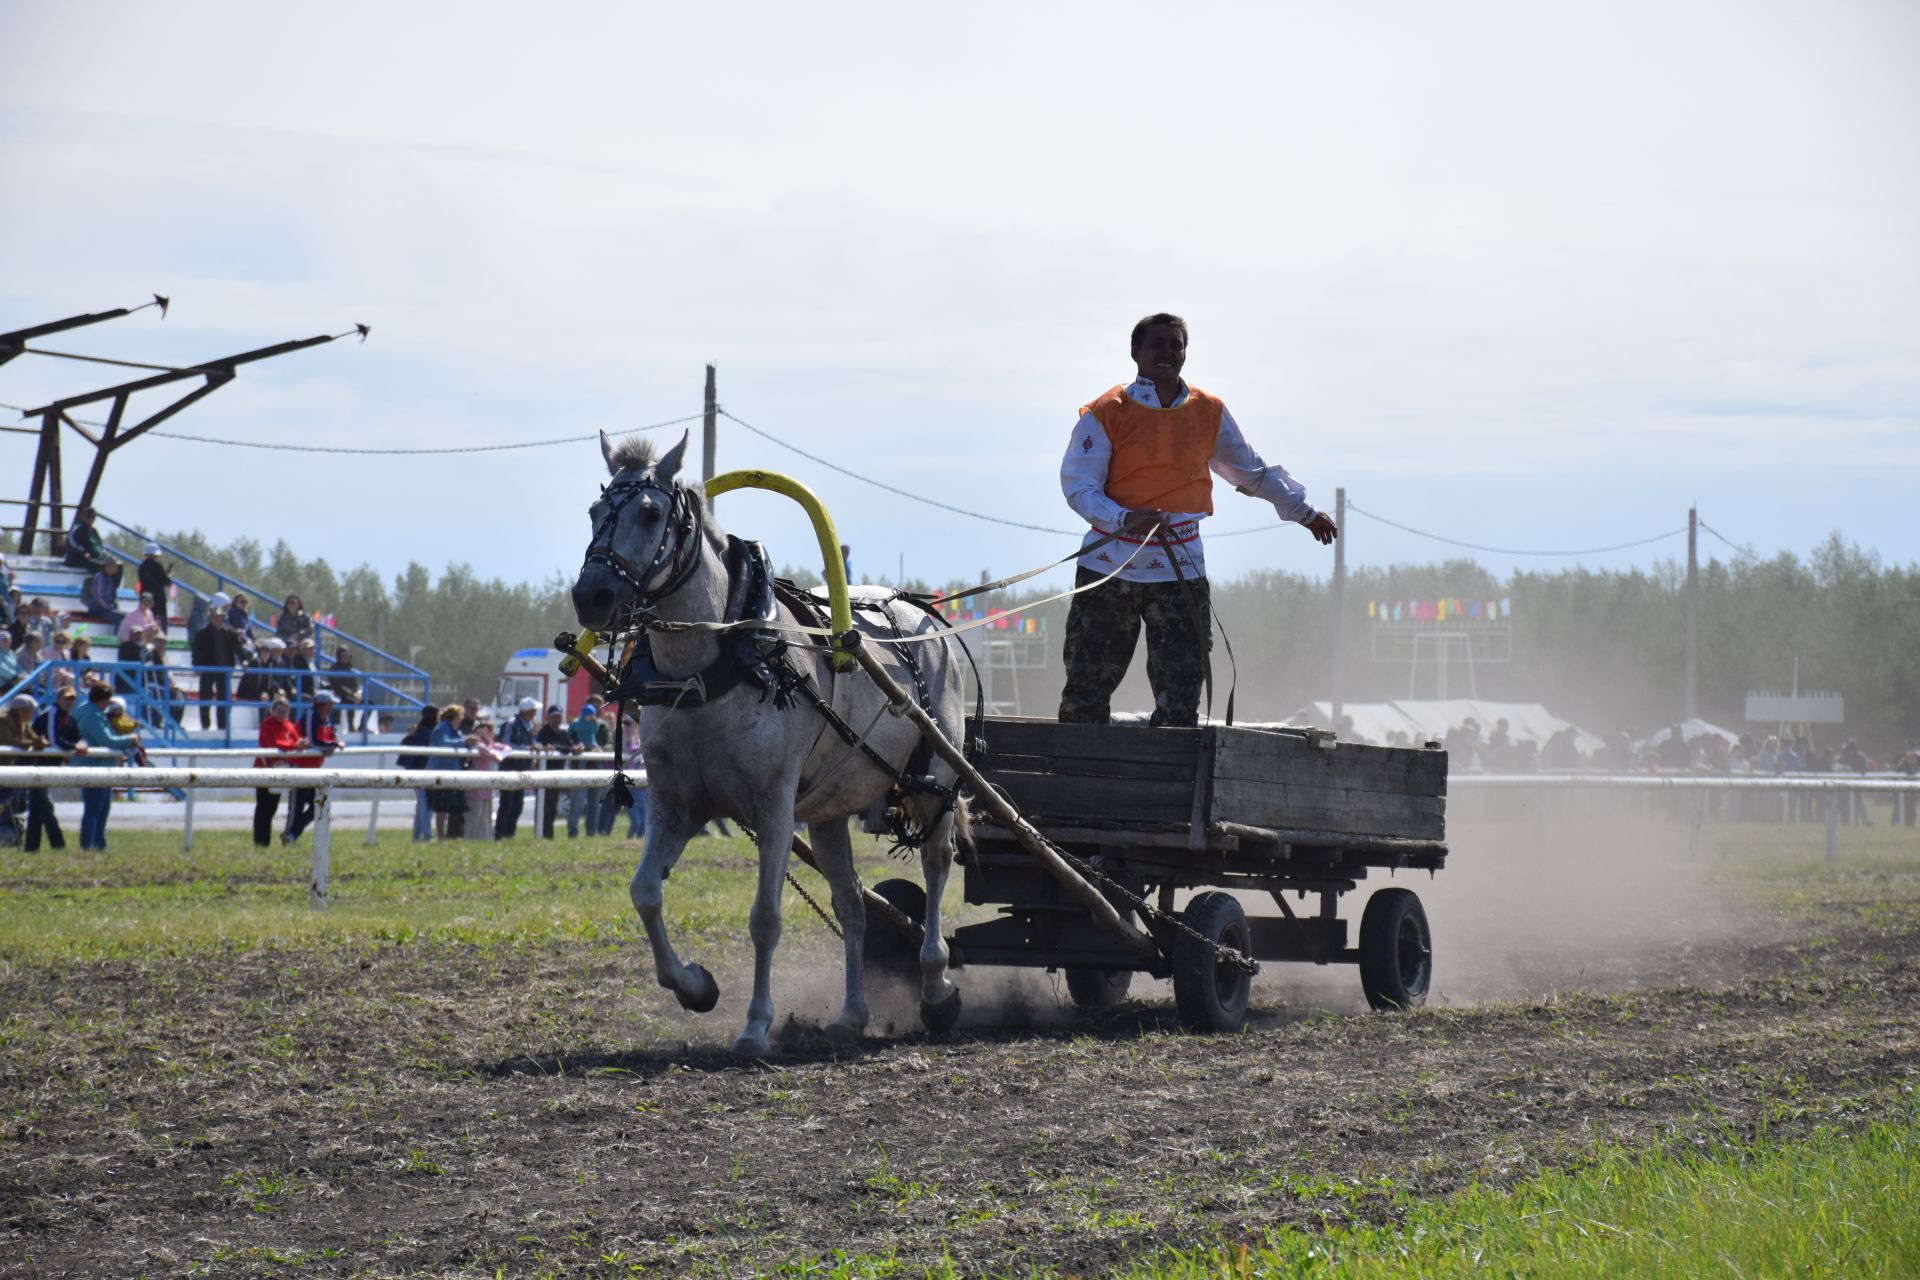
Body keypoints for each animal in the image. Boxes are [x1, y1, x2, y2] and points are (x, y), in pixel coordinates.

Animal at [564, 435, 960, 1059]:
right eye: (594, 512)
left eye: (650, 513)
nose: (592, 596)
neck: (715, 667)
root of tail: (920, 612)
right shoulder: (677, 805)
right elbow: (645, 892)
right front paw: (695, 986)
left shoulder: (775, 808)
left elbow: (765, 918)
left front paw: (755, 1026)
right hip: (829, 812)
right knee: (853, 905)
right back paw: (851, 1015)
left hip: (935, 783)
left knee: (937, 863)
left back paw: (937, 987)